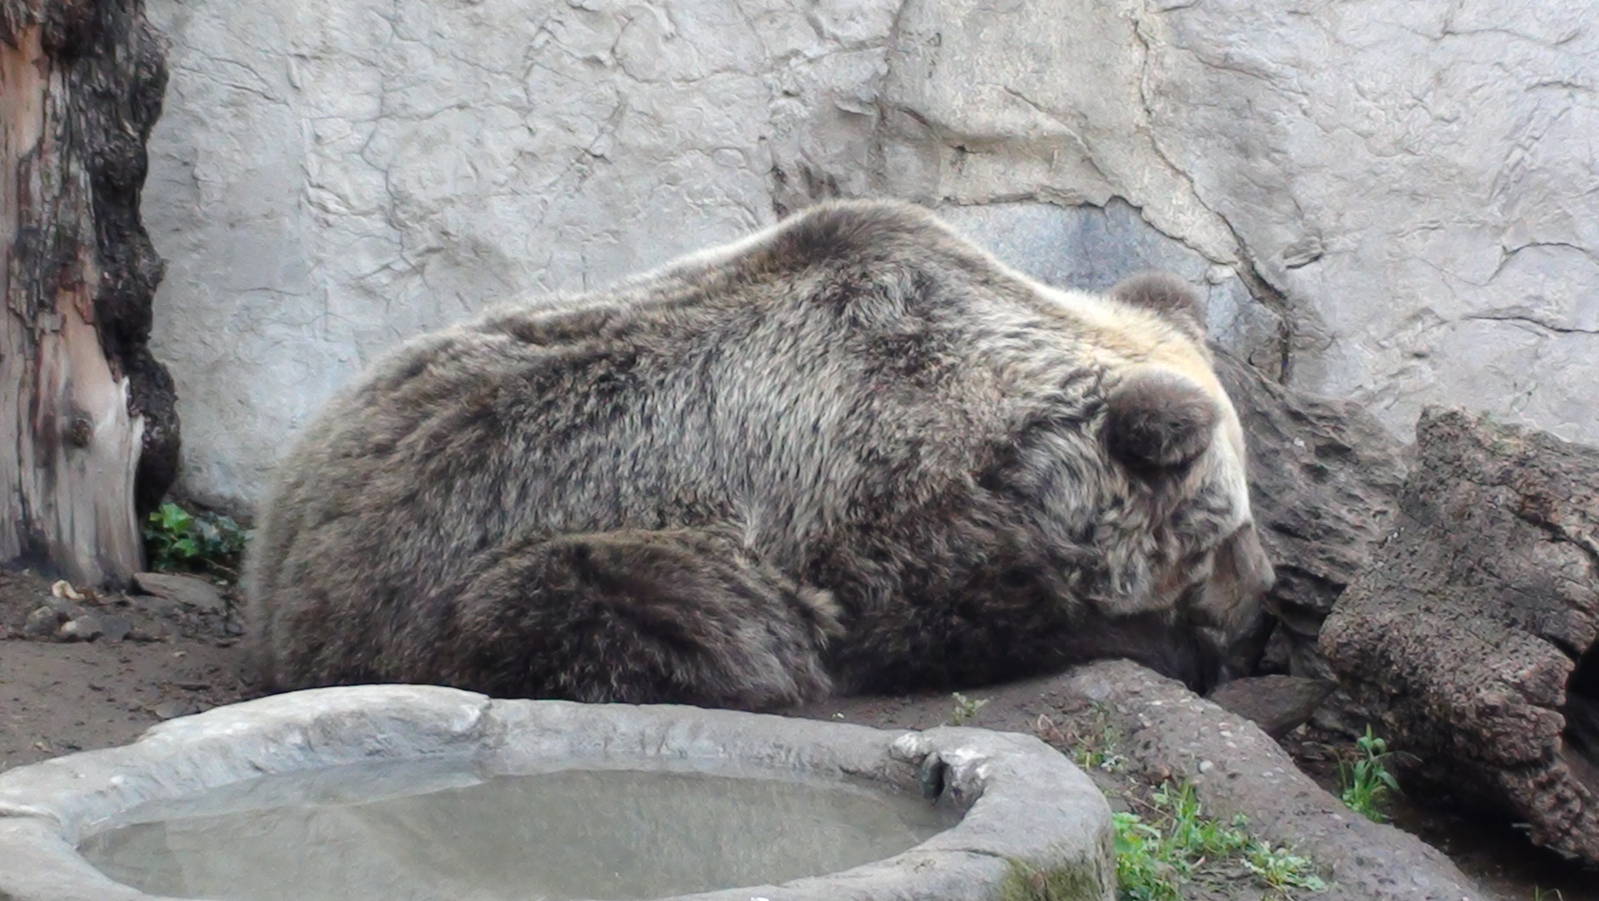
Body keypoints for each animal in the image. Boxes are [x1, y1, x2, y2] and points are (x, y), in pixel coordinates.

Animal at [243, 199, 1274, 710]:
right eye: (1227, 526)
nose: (1261, 592)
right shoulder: (881, 506)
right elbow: (962, 618)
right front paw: (1160, 644)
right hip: (461, 579)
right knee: (656, 611)